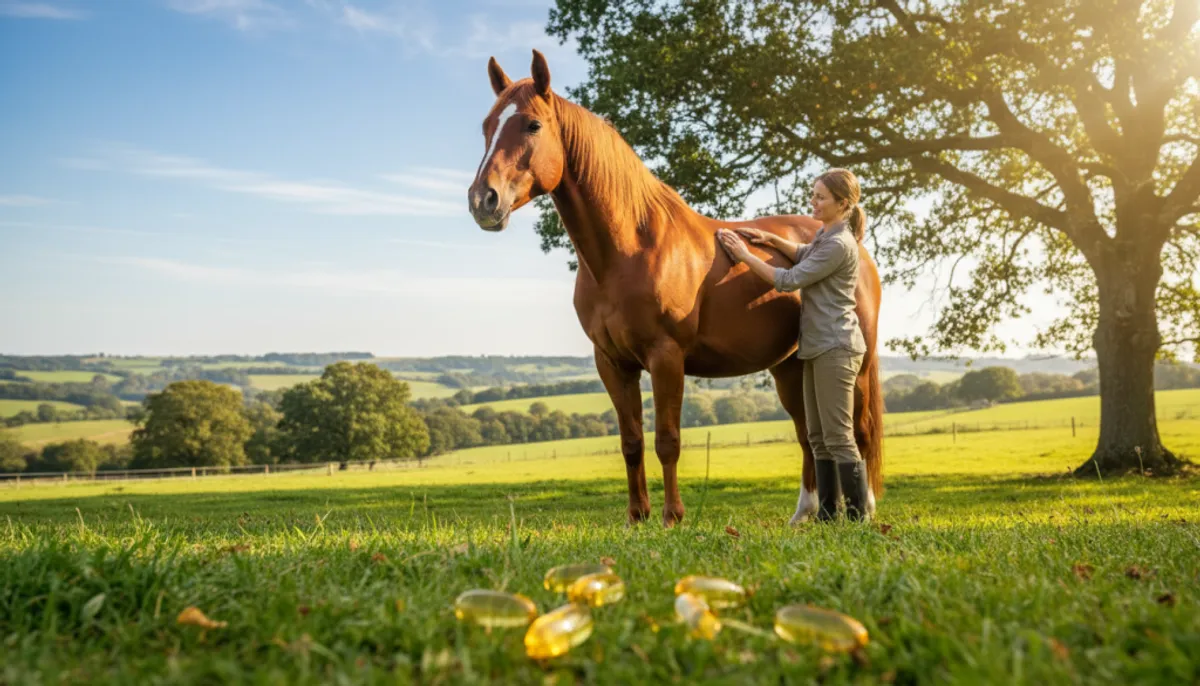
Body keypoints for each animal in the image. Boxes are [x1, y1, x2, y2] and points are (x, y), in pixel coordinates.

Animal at [467, 50, 884, 527]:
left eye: (533, 125)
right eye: (487, 125)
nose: (483, 200)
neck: (628, 248)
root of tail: (856, 244)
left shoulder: (666, 358)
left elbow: (667, 440)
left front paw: (671, 517)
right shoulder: (612, 363)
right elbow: (631, 442)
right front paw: (636, 517)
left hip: (856, 364)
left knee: (858, 430)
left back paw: (865, 508)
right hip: (791, 367)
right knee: (806, 434)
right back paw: (805, 514)